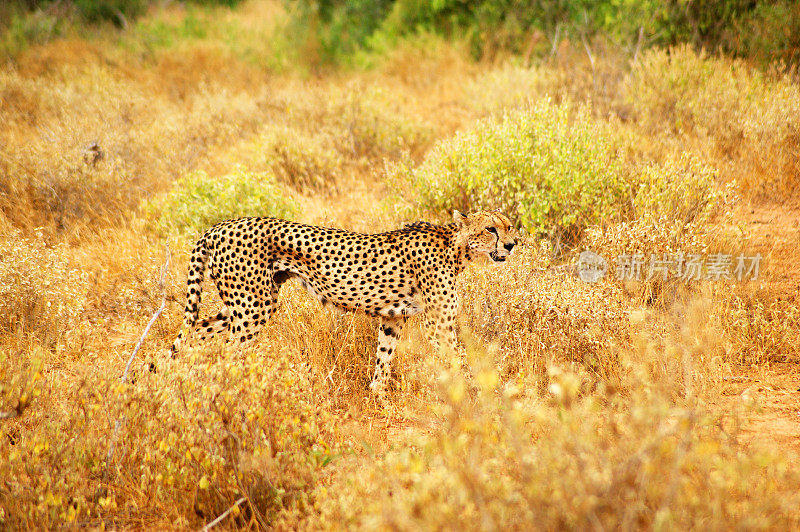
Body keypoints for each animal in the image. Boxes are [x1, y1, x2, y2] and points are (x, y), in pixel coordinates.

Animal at [171, 210, 516, 396]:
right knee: (228, 353)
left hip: (239, 304)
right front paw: (475, 397)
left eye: (509, 226)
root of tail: (220, 225)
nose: (512, 245)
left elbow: (384, 358)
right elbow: (458, 360)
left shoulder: (393, 318)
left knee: (191, 335)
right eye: (490, 228)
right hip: (253, 306)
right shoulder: (439, 322)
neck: (456, 247)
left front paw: (378, 396)